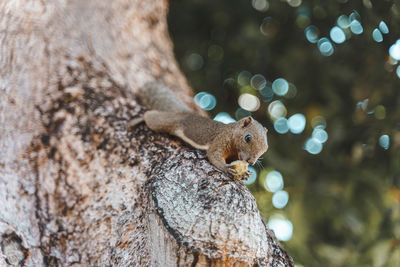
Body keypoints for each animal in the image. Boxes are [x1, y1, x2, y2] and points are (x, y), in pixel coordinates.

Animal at [131, 82, 268, 180]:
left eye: (265, 148)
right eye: (247, 138)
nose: (251, 162)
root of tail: (184, 112)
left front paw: (246, 173)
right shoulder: (221, 139)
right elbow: (213, 154)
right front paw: (226, 167)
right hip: (167, 122)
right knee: (151, 117)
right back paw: (137, 120)